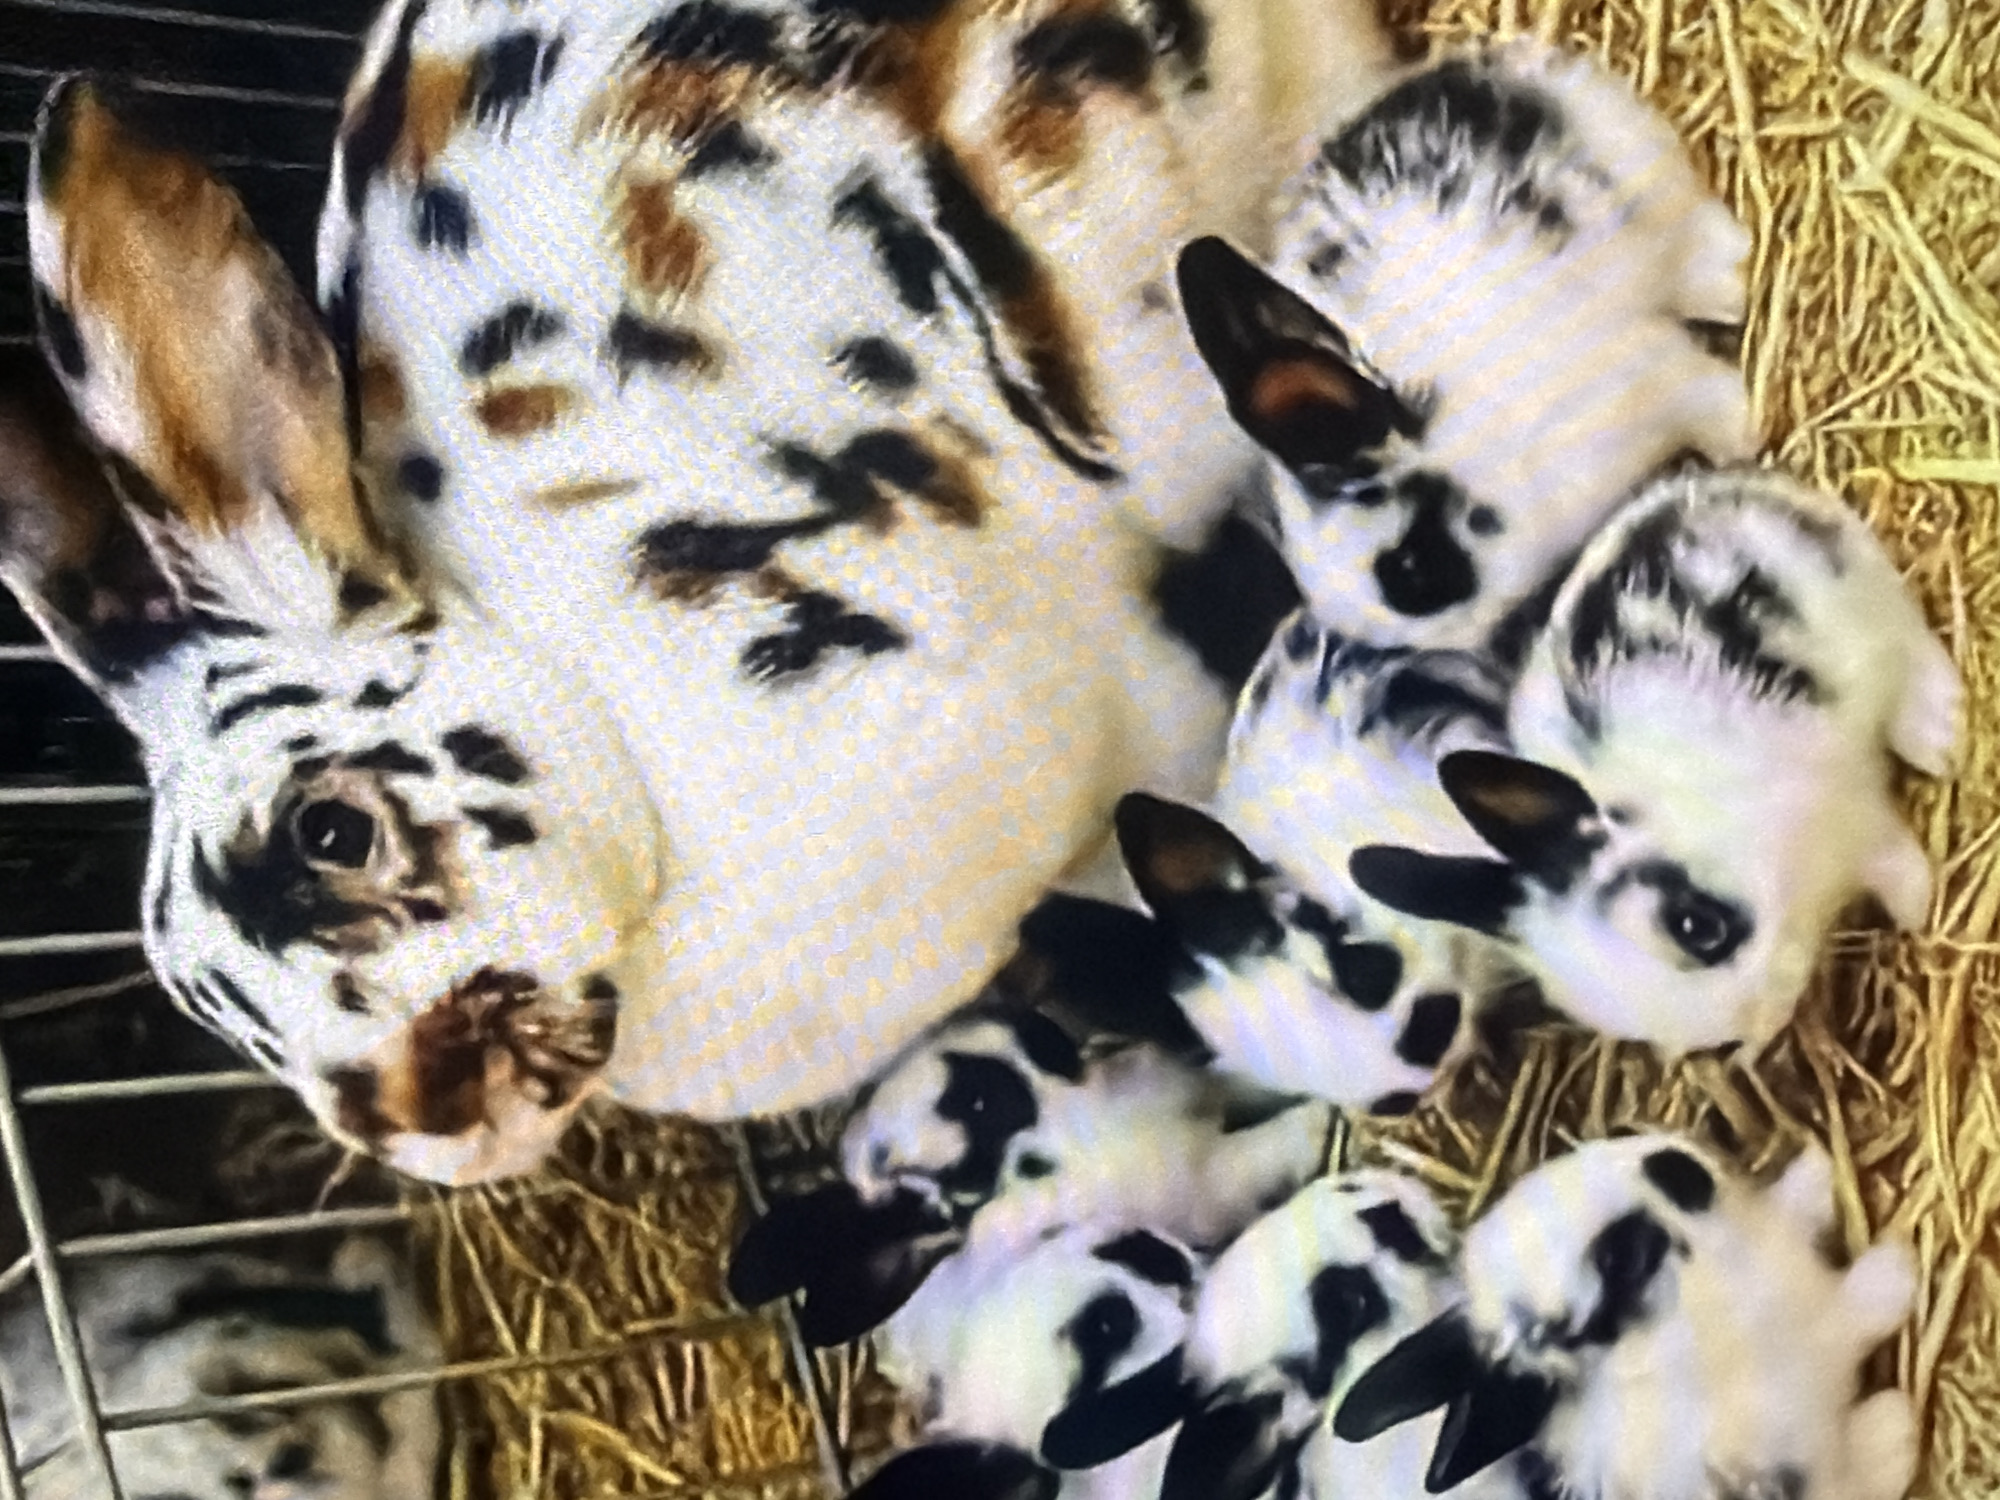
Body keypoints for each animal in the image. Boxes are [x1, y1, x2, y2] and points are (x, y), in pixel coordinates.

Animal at [726, 992, 1331, 1347]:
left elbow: (1233, 1079)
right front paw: (1319, 1117)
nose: (1036, 1027)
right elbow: (1258, 1155)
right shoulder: (1201, 1180)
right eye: (974, 1101)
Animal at [1170, 33, 1758, 653]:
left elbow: (1705, 395)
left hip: (1643, 170)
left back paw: (1727, 286)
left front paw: (1741, 443)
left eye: (1408, 570)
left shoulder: (1647, 373)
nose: (1460, 644)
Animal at [1349, 465, 1964, 1056]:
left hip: (1855, 597)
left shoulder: (1851, 814)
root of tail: (1694, 490)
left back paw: (1940, 733)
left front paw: (1918, 914)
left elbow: (1893, 864)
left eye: (1699, 925)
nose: (1763, 1016)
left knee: (1904, 633)